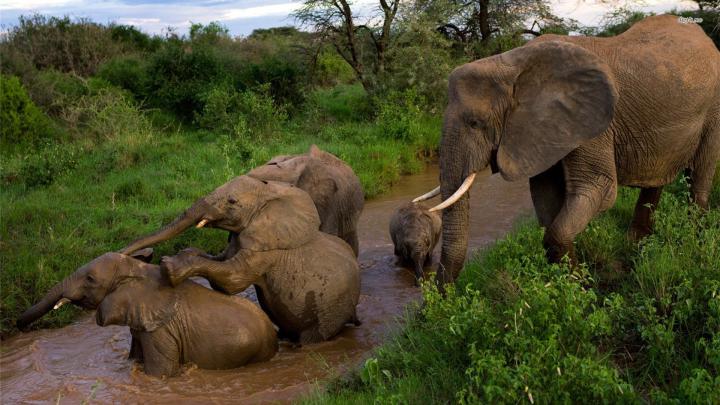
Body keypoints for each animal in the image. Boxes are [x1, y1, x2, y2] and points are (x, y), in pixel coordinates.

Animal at [120, 176, 361, 344]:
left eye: (232, 201)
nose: (123, 253)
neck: (269, 193)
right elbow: (219, 262)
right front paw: (185, 254)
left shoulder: (266, 249)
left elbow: (232, 280)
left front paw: (169, 267)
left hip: (330, 310)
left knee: (314, 336)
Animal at [414, 15, 720, 282]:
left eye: (475, 123)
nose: (441, 296)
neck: (511, 65)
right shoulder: (543, 130)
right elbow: (547, 199)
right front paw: (571, 284)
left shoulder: (590, 122)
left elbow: (598, 189)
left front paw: (581, 289)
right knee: (656, 181)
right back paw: (636, 246)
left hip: (713, 107)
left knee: (699, 176)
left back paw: (694, 243)